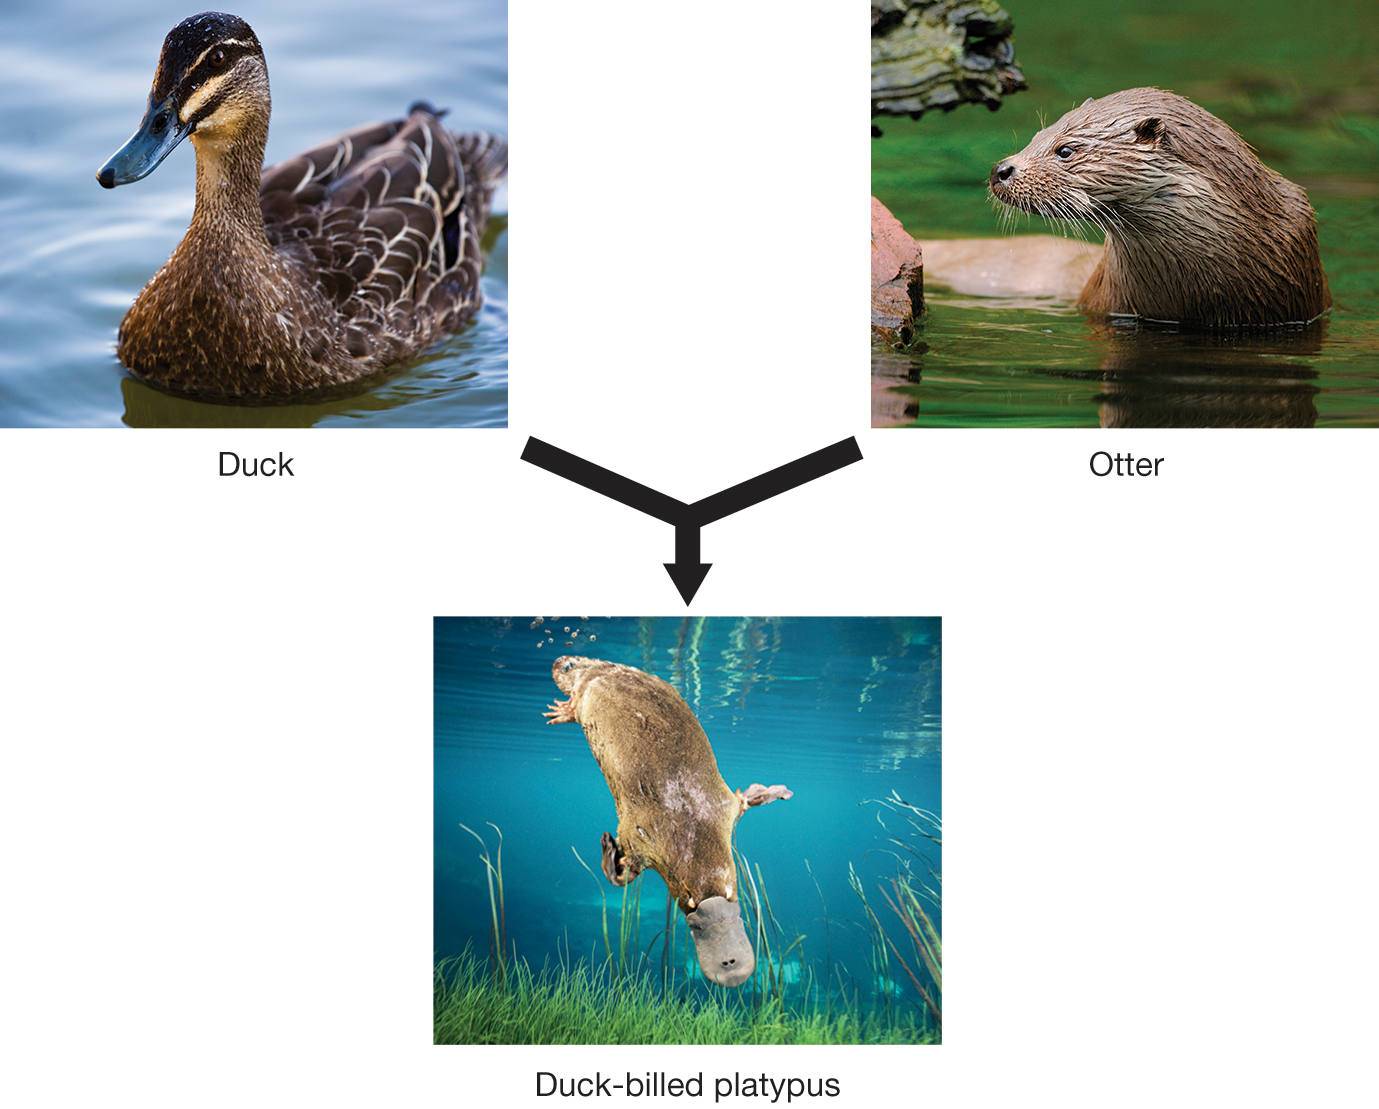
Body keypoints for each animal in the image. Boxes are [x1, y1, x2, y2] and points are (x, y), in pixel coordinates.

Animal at [543, 655, 792, 987]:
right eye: (690, 902)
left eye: (730, 895)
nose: (732, 968)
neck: (689, 827)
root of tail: (598, 668)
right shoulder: (639, 832)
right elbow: (624, 869)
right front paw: (607, 844)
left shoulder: (722, 807)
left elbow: (740, 802)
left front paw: (775, 792)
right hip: (585, 692)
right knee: (577, 698)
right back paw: (560, 709)